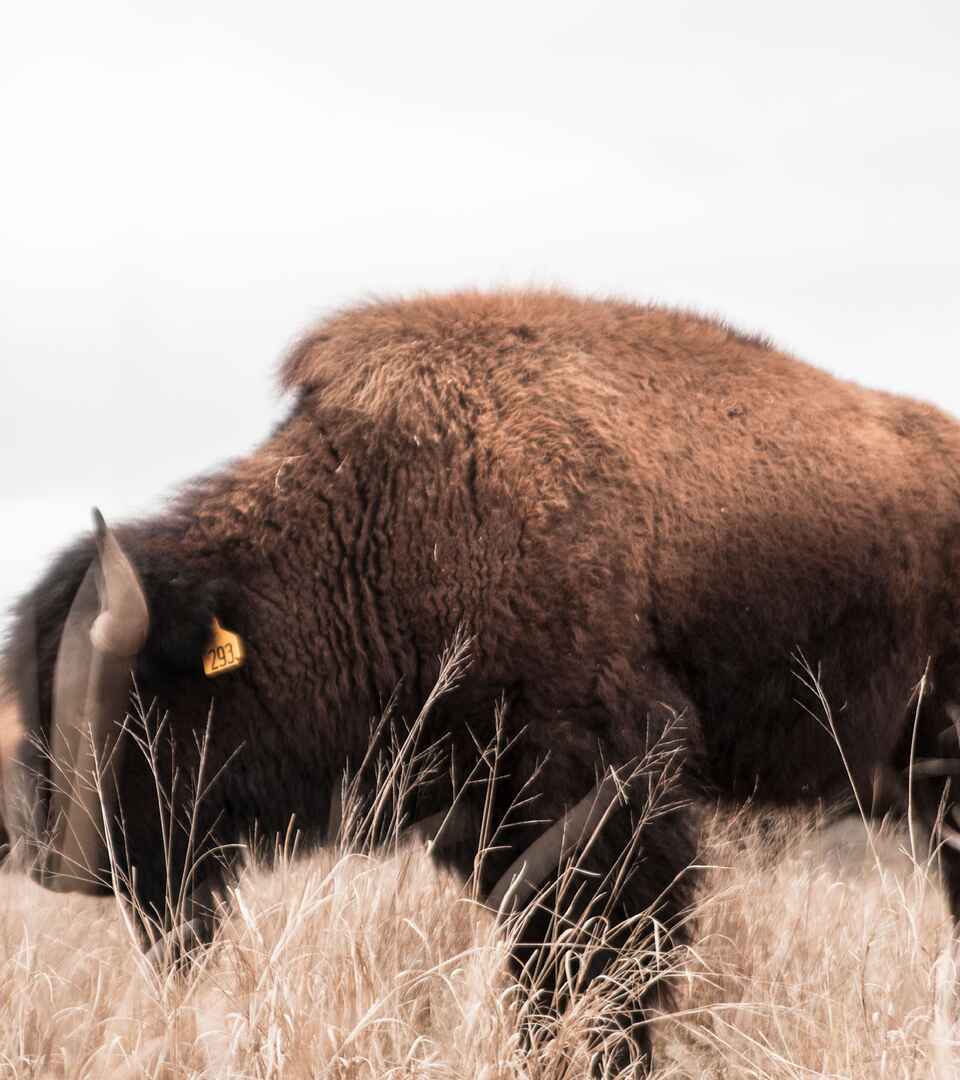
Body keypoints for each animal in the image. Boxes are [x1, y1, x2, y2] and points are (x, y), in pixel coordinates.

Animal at [2, 289, 959, 1073]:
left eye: (138, 709)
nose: (55, 857)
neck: (388, 516)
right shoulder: (486, 820)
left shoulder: (605, 799)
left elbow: (600, 959)